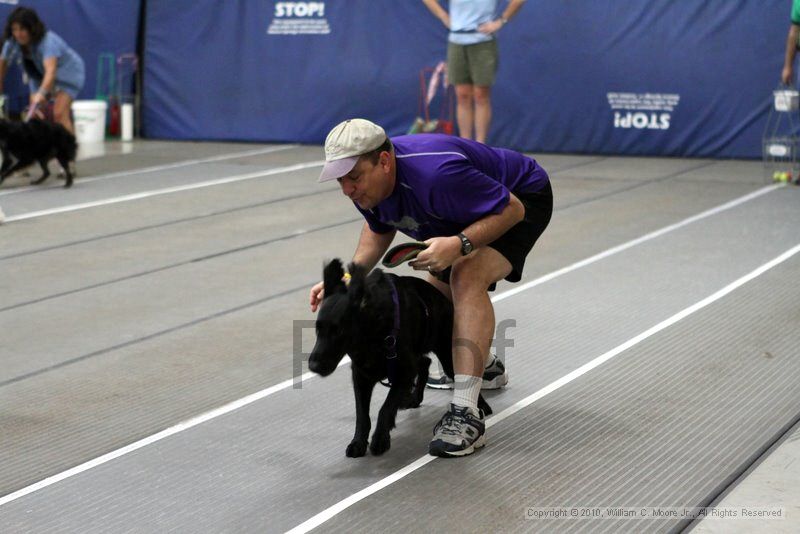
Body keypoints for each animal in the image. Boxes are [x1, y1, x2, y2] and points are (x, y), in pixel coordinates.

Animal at [308, 262, 490, 458]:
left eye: (339, 331)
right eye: (318, 329)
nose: (313, 366)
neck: (373, 332)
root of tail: (444, 300)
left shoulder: (403, 373)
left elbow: (385, 408)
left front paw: (380, 439)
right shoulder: (362, 377)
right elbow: (362, 415)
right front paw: (358, 442)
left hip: (447, 354)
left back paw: (481, 406)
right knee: (424, 363)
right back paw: (415, 398)